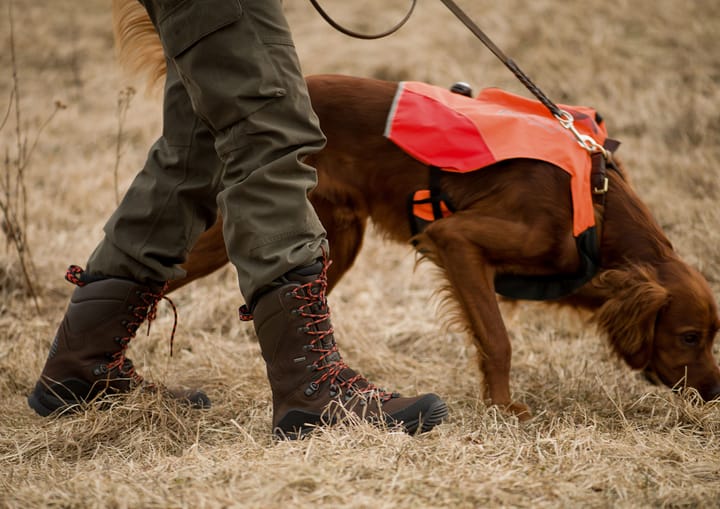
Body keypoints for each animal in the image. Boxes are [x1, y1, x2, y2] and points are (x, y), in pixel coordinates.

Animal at [112, 0, 720, 416]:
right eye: (689, 336)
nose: (715, 392)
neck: (594, 204)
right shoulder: (457, 241)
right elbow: (497, 338)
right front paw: (504, 409)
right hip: (235, 228)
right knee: (158, 275)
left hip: (337, 239)